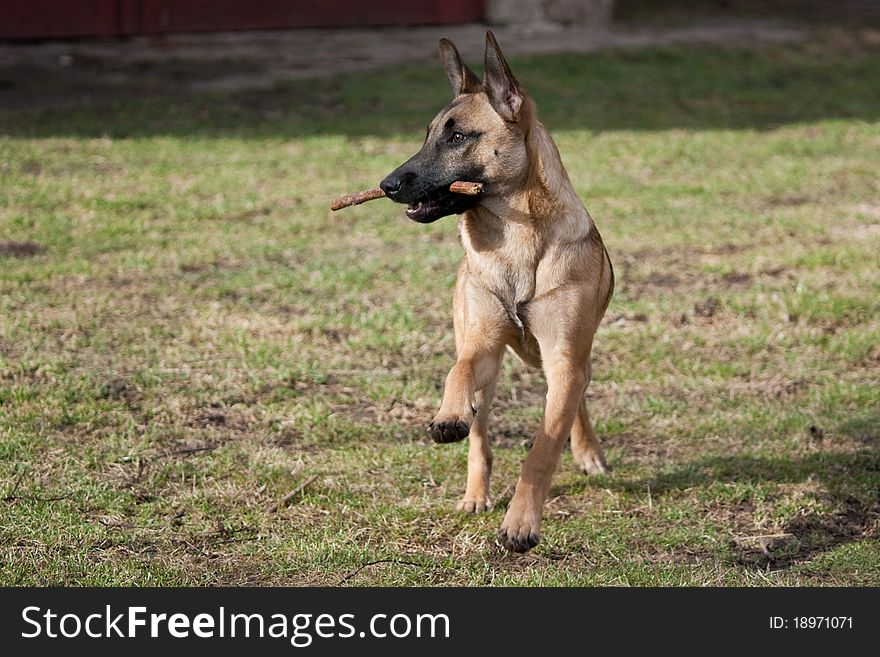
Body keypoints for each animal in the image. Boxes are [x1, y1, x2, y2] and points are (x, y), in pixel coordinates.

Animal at [378, 32, 612, 552]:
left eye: (458, 137)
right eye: (428, 134)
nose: (387, 185)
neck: (516, 239)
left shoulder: (565, 358)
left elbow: (543, 448)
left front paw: (521, 523)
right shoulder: (482, 343)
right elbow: (458, 371)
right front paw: (447, 415)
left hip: (569, 357)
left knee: (578, 395)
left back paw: (586, 451)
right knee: (480, 432)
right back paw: (474, 492)